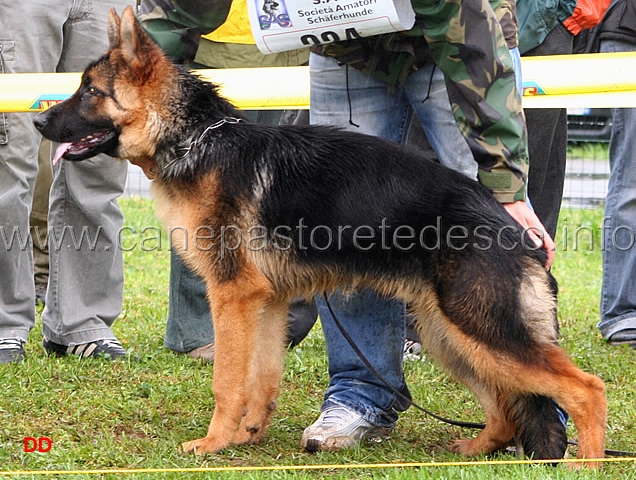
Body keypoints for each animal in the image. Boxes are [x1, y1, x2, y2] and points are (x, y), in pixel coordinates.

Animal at [33, 5, 608, 466]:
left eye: (90, 92)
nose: (39, 124)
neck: (195, 137)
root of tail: (511, 227)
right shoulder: (265, 302)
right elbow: (261, 376)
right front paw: (248, 434)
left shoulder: (232, 297)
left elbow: (227, 379)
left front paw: (213, 443)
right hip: (450, 336)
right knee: (506, 407)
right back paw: (474, 449)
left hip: (482, 331)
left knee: (585, 389)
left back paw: (587, 462)